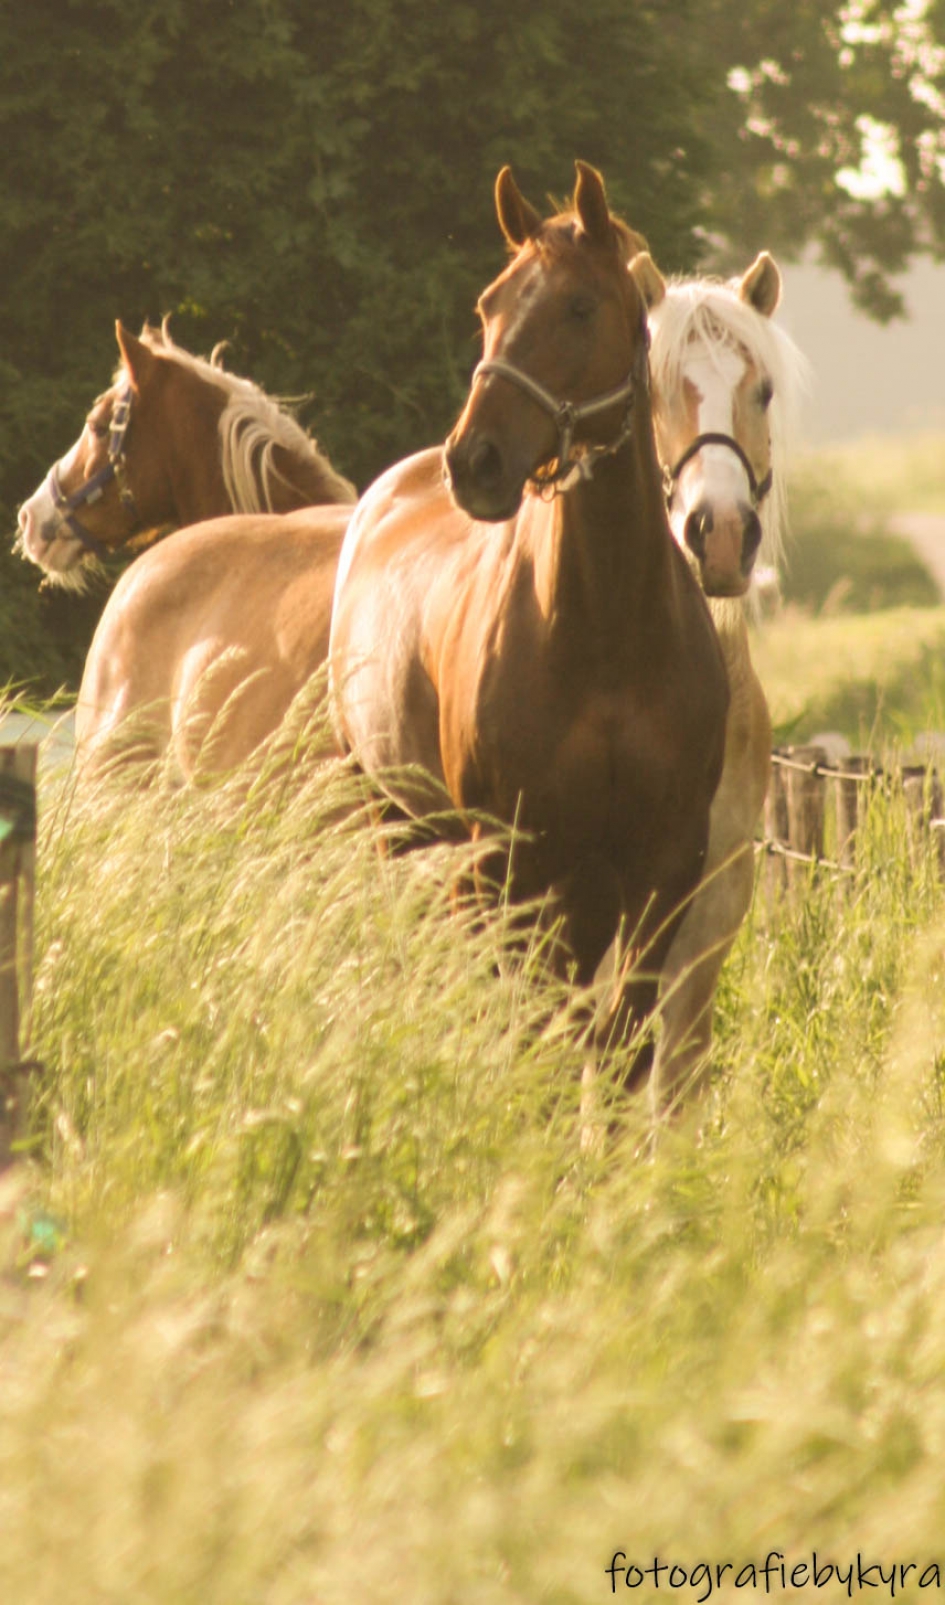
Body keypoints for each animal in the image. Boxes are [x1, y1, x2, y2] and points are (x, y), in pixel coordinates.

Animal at [329, 161, 730, 1101]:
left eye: (579, 307)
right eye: (489, 303)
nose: (473, 461)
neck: (606, 638)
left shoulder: (660, 863)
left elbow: (618, 1042)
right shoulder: (511, 861)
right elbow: (539, 1033)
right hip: (396, 821)